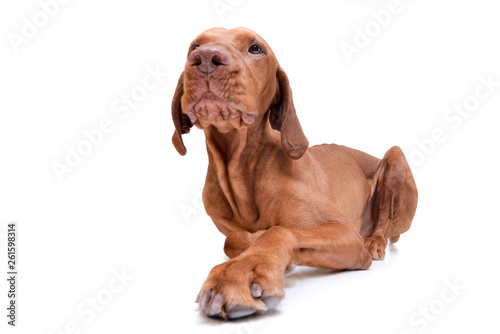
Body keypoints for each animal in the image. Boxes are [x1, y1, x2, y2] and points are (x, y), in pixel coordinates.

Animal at [172, 27, 418, 320]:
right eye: (195, 46)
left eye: (256, 48)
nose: (206, 58)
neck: (241, 169)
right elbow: (232, 238)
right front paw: (249, 244)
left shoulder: (343, 231)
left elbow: (279, 231)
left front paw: (240, 272)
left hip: (394, 156)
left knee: (384, 222)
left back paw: (375, 241)